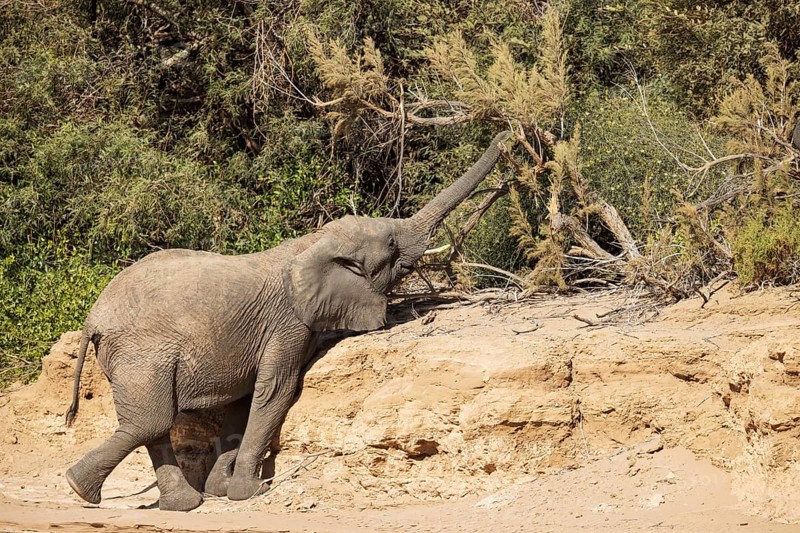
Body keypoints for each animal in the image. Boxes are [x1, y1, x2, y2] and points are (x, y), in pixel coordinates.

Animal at [63, 130, 511, 511]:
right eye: (390, 245)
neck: (312, 243)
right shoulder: (288, 322)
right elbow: (276, 390)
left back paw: (178, 504)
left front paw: (223, 490)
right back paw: (78, 488)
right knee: (152, 421)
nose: (509, 137)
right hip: (140, 353)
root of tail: (92, 319)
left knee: (153, 426)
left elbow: (244, 401)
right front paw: (251, 492)